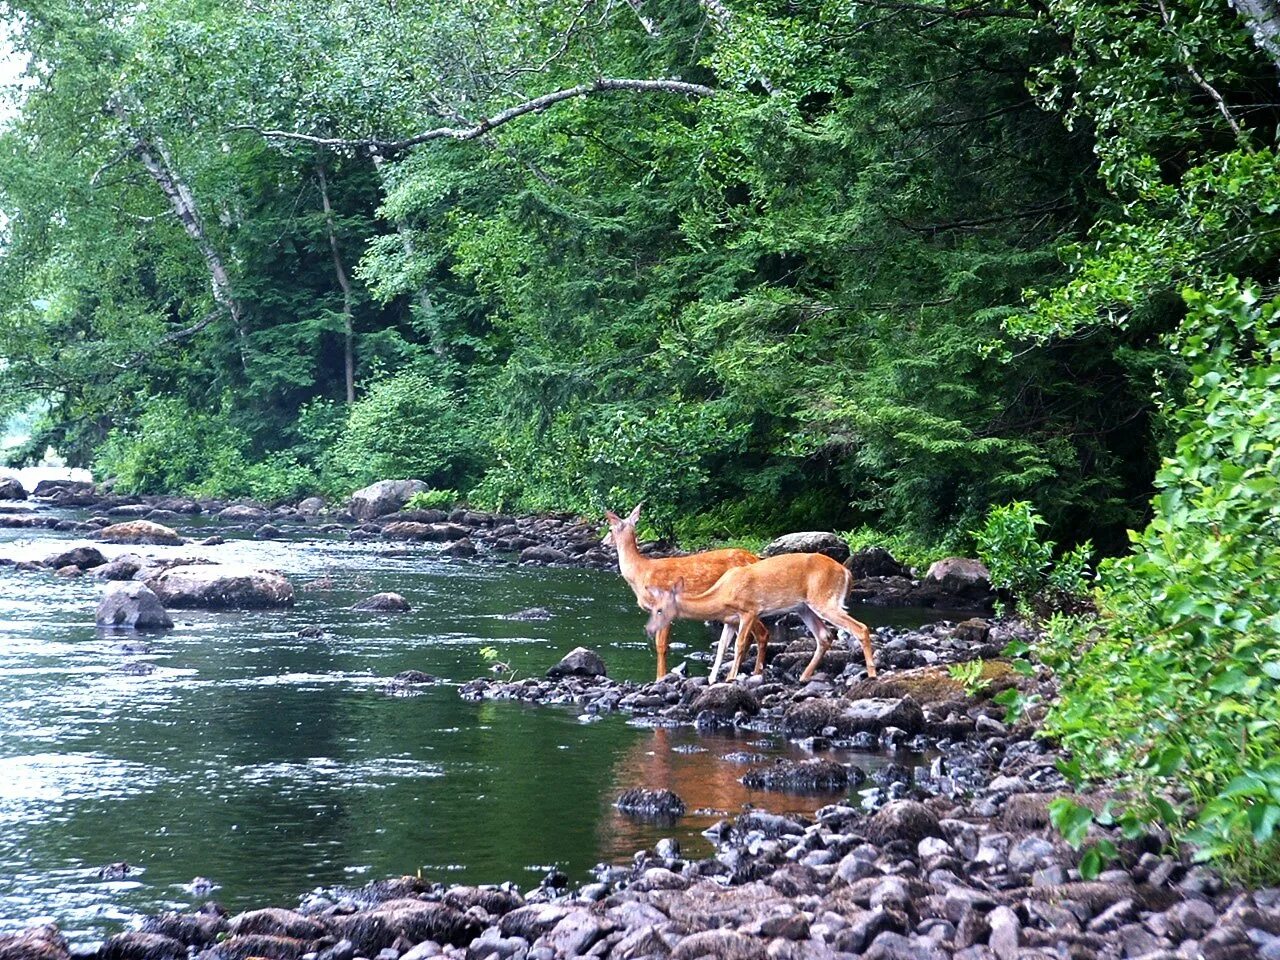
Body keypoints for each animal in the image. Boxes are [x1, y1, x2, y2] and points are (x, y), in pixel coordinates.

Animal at [601, 504, 768, 686]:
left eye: (610, 529)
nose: (603, 542)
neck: (641, 572)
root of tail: (756, 558)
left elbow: (661, 645)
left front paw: (660, 678)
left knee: (762, 634)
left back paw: (754, 672)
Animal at [645, 547, 875, 686]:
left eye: (659, 609)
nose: (648, 629)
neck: (722, 594)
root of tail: (846, 572)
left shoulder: (749, 610)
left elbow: (739, 644)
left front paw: (730, 678)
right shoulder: (729, 620)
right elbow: (721, 648)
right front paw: (711, 679)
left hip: (825, 599)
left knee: (860, 628)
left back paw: (872, 674)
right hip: (804, 607)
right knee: (824, 635)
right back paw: (804, 676)